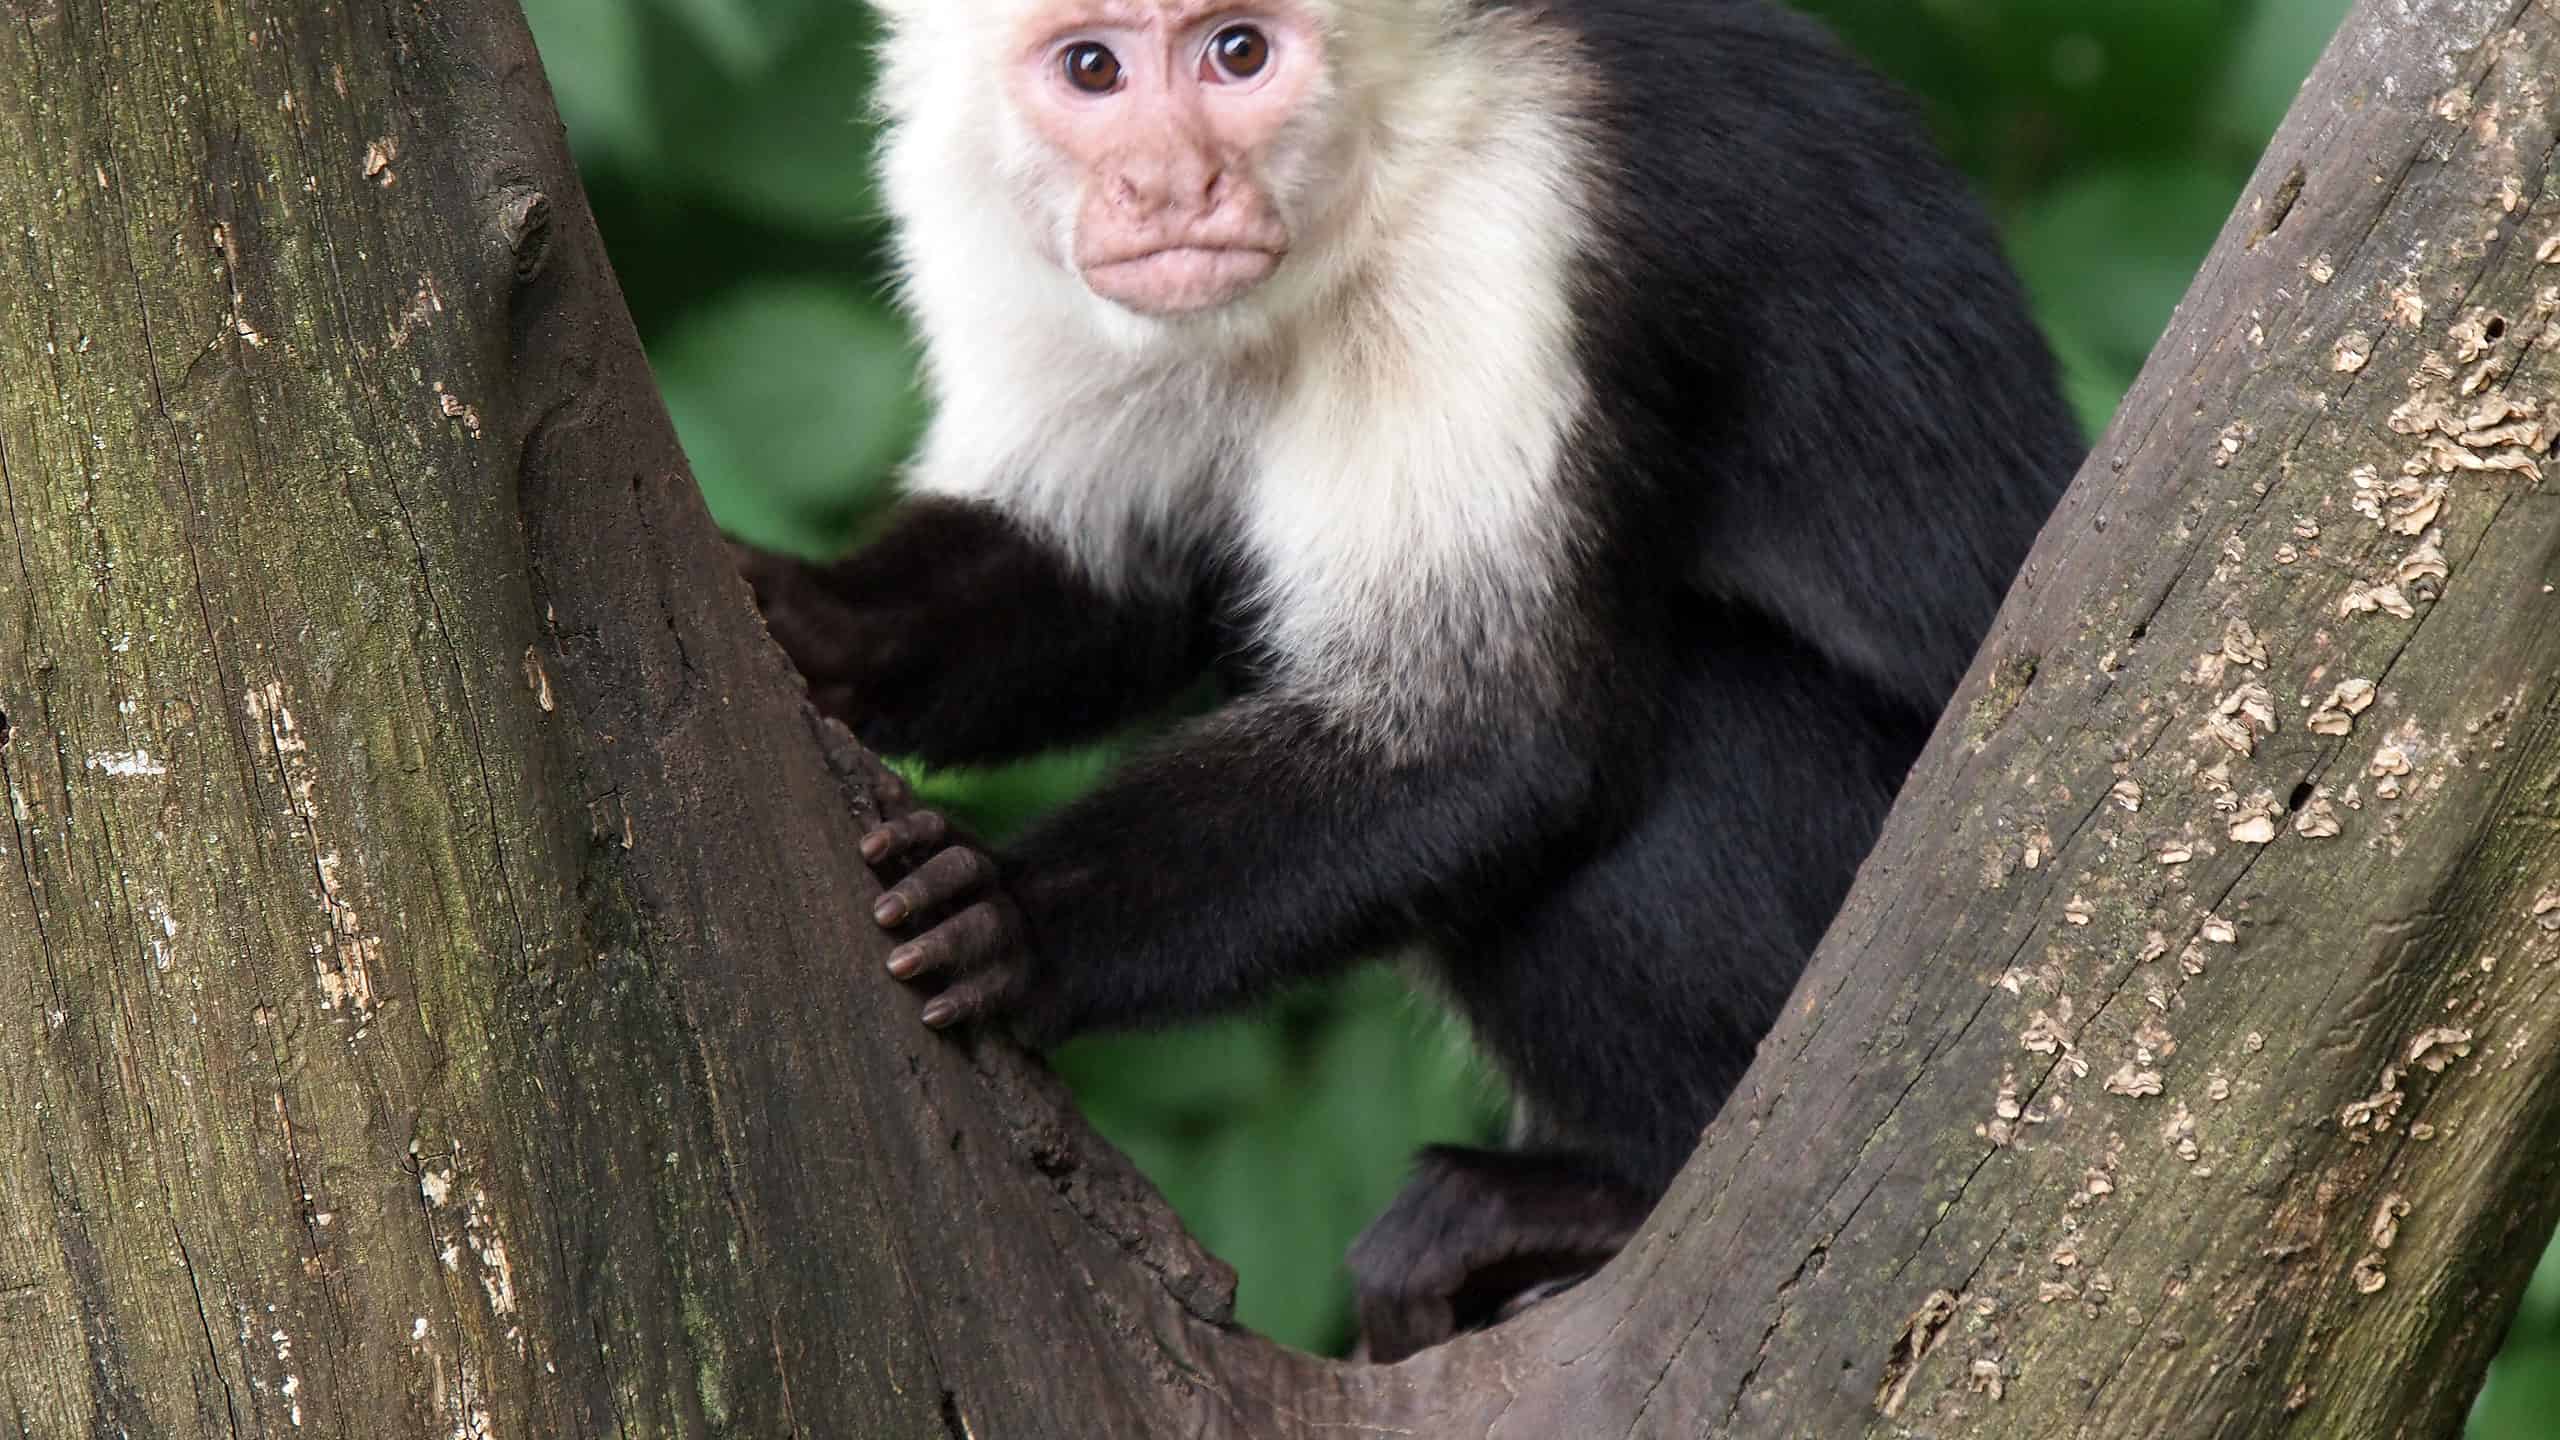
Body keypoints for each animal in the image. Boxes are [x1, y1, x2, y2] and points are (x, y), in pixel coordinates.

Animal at [737, 0, 2078, 1352]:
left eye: (1238, 52)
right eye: (1091, 69)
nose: (1171, 185)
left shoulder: (1500, 220)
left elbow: (1488, 741)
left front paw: (1016, 917)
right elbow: (1119, 582)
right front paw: (812, 622)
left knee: (1684, 728)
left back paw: (1617, 1195)